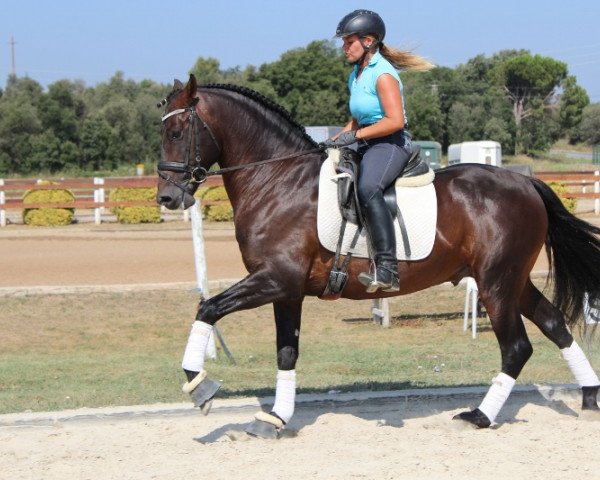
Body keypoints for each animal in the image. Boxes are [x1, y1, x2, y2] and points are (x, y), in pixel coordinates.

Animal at [156, 74, 600, 438]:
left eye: (176, 131)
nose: (167, 198)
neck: (277, 180)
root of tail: (526, 183)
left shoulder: (275, 278)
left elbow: (208, 308)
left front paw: (200, 386)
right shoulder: (286, 289)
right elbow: (286, 351)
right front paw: (275, 418)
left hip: (496, 284)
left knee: (517, 347)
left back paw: (480, 416)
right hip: (512, 282)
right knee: (554, 325)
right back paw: (590, 397)